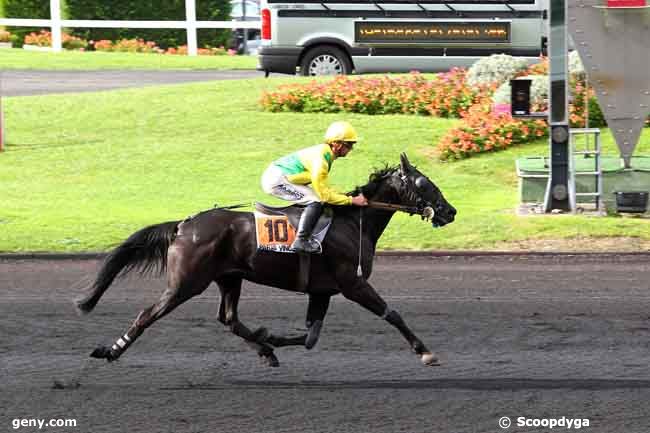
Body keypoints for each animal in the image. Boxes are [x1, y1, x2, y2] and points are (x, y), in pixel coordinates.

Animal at [77, 154, 456, 366]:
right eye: (425, 183)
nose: (450, 211)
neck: (352, 222)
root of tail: (184, 224)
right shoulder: (352, 282)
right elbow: (392, 313)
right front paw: (424, 351)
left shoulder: (322, 290)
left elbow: (310, 336)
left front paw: (271, 339)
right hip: (186, 283)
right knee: (147, 314)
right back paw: (111, 351)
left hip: (230, 277)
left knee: (229, 318)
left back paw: (265, 350)